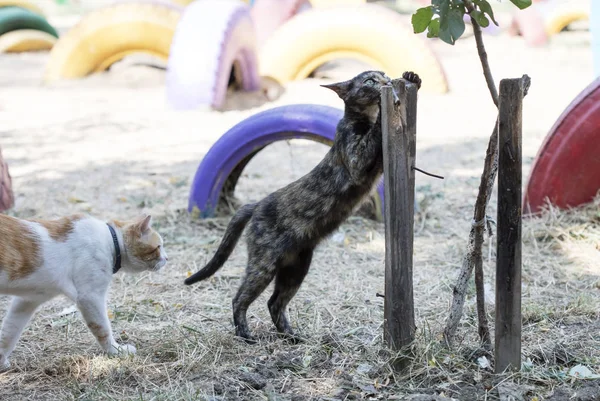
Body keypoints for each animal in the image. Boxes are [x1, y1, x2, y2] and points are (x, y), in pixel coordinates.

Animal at [0, 211, 168, 370]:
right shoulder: (90, 297)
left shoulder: (27, 301)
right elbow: (102, 328)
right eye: (158, 247)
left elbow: (9, 333)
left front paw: (1, 361)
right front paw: (116, 351)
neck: (111, 240)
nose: (167, 258)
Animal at [185, 70, 424, 342]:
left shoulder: (379, 163)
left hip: (295, 268)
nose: (386, 81)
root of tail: (256, 204)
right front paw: (385, 108)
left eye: (382, 75)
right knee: (239, 299)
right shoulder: (357, 161)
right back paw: (245, 335)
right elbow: (373, 133)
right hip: (264, 264)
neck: (362, 119)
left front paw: (413, 78)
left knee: (274, 303)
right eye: (369, 81)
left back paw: (291, 337)